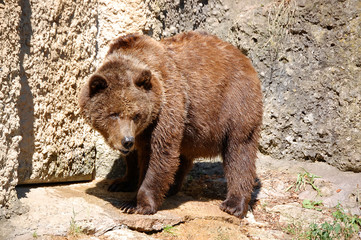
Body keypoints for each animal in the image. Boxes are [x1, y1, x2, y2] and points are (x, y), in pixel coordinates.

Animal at [79, 31, 262, 218]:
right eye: (114, 114)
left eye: (136, 115)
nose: (127, 141)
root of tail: (243, 57)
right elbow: (133, 157)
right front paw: (121, 182)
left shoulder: (166, 106)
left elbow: (160, 154)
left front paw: (136, 204)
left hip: (235, 104)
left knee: (239, 152)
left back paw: (233, 204)